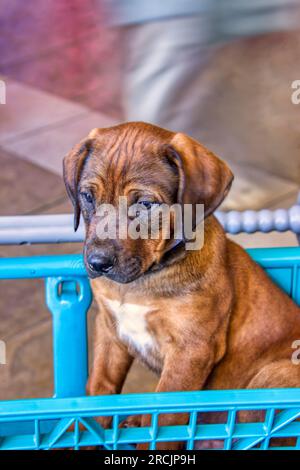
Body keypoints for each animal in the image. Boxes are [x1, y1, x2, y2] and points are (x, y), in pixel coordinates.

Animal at [63, 120, 300, 448]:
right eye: (87, 196)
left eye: (145, 204)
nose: (97, 263)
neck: (145, 280)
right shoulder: (109, 331)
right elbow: (99, 391)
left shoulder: (192, 351)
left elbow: (164, 420)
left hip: (273, 376)